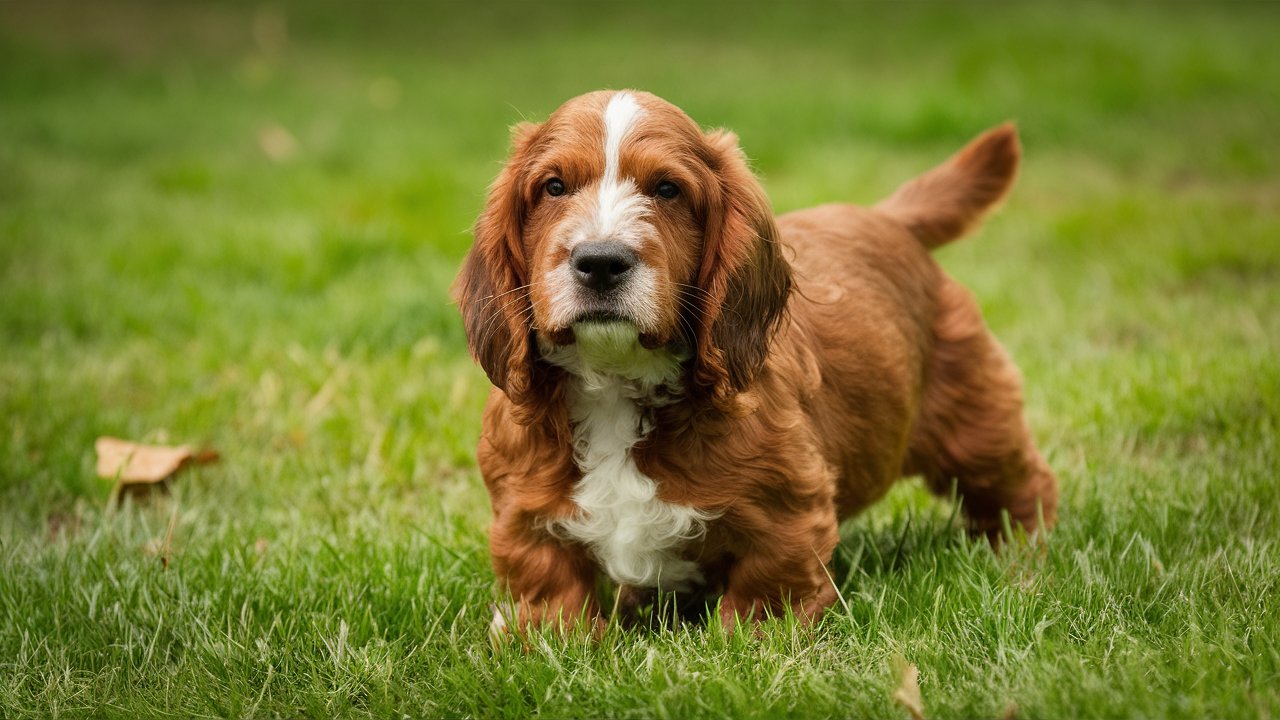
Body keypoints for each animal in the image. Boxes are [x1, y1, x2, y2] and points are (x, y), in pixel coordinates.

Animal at [455, 89, 1054, 632]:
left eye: (667, 189)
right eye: (553, 187)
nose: (601, 262)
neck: (616, 380)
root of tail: (888, 219)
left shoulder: (788, 507)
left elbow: (766, 590)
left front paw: (750, 638)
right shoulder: (525, 510)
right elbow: (547, 588)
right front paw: (543, 639)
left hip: (972, 417)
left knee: (1020, 484)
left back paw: (1022, 559)